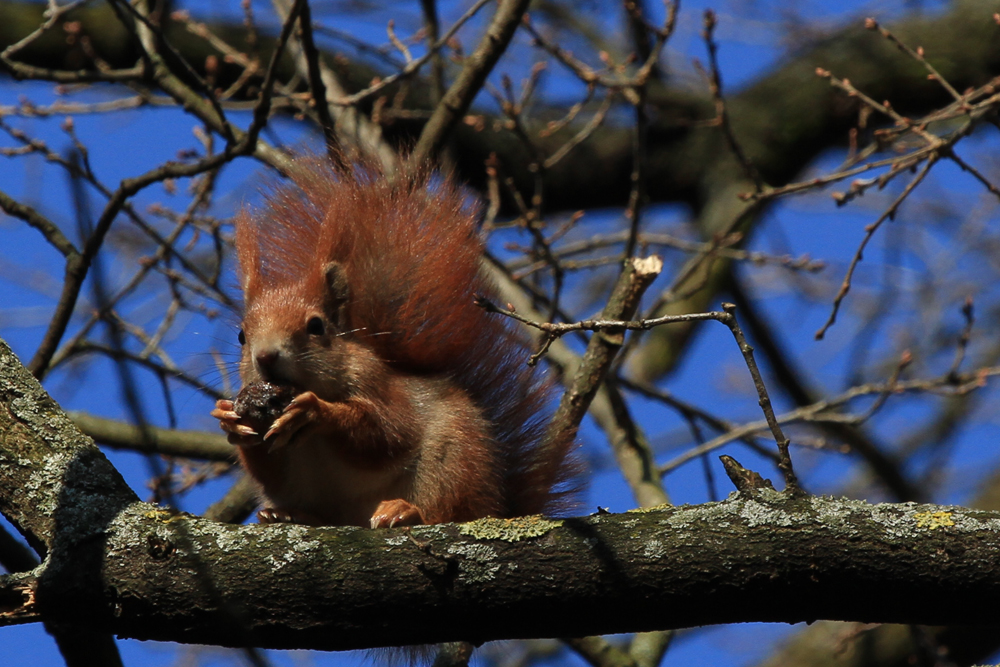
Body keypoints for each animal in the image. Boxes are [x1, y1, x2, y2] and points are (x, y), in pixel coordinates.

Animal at [209, 160, 580, 528]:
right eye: (241, 336)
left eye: (316, 326)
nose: (265, 356)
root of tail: (497, 506)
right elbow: (270, 472)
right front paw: (229, 419)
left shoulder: (379, 384)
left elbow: (387, 434)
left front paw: (316, 411)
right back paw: (289, 514)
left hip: (455, 461)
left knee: (450, 510)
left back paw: (407, 511)